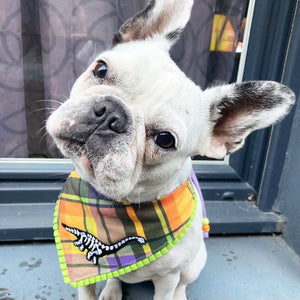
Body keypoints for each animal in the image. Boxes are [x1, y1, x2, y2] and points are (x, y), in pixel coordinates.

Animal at [45, 1, 294, 298]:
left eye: (165, 140)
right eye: (101, 69)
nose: (111, 115)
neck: (115, 204)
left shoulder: (167, 278)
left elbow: (166, 290)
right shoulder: (85, 274)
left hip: (194, 265)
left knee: (183, 282)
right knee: (116, 276)